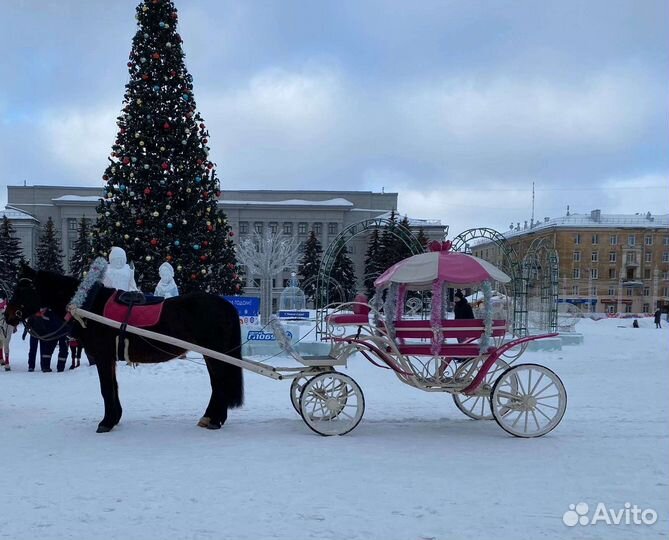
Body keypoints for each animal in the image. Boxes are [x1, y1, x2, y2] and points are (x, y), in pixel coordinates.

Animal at [4, 265, 244, 433]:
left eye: (22, 288)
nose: (7, 315)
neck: (90, 307)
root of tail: (226, 305)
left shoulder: (102, 357)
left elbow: (106, 388)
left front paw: (106, 422)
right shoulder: (109, 358)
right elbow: (113, 387)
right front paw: (115, 417)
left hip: (214, 355)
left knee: (219, 384)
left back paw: (214, 419)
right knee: (218, 384)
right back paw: (212, 417)